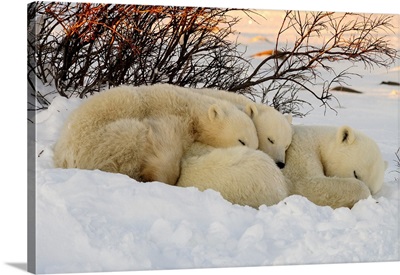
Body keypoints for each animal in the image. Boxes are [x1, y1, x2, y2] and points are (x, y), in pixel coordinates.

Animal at [54, 84, 260, 185]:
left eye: (257, 145)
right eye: (241, 141)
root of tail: (64, 157)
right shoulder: (166, 117)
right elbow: (166, 151)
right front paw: (165, 179)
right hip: (100, 141)